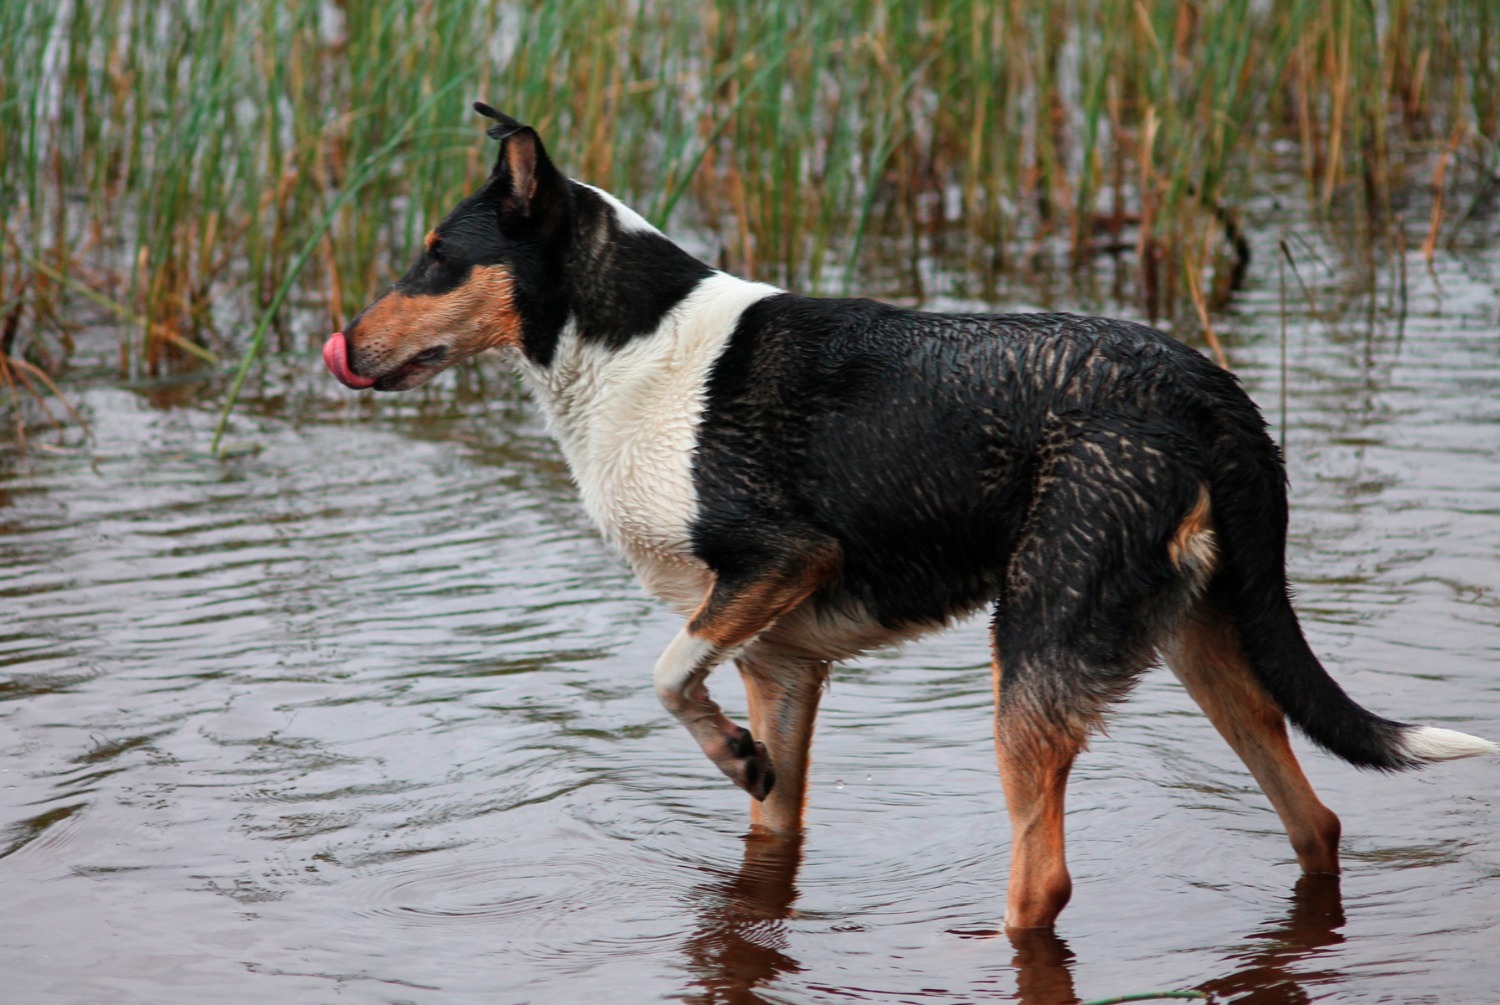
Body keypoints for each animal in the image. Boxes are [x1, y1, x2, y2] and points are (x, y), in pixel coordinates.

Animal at [322, 106, 1494, 936]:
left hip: (1034, 648)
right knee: (1317, 821)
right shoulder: (782, 662)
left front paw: (728, 751)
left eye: (435, 253)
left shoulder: (780, 561)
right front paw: (745, 765)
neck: (628, 348)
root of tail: (1210, 393)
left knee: (1044, 882)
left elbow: (662, 673)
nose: (345, 343)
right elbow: (766, 818)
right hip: (1200, 646)